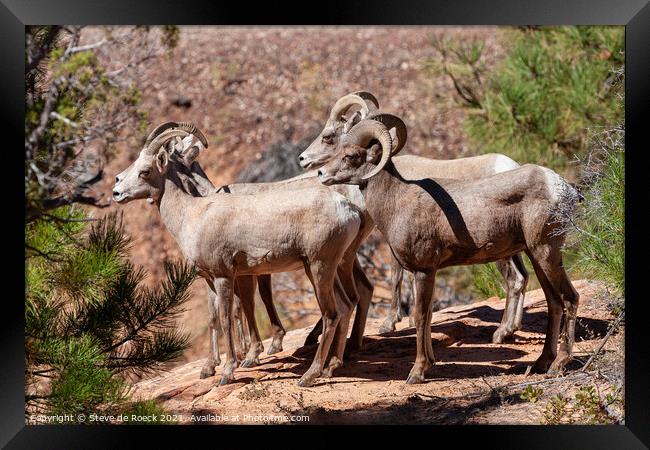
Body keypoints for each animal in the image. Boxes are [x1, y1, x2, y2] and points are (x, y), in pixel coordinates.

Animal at [113, 124, 362, 386]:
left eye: (145, 171)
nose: (116, 191)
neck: (191, 216)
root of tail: (350, 210)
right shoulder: (211, 280)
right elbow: (215, 319)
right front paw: (211, 369)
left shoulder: (224, 277)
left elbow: (226, 319)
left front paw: (227, 372)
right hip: (323, 268)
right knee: (345, 307)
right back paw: (330, 368)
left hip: (319, 267)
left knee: (331, 314)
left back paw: (309, 376)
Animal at [298, 93, 528, 342]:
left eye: (329, 137)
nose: (304, 160)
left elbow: (397, 276)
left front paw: (389, 324)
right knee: (524, 277)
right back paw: (514, 327)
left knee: (514, 280)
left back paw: (502, 333)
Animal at [318, 117, 576, 384]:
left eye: (350, 156)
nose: (321, 174)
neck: (397, 202)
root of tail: (562, 187)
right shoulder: (429, 272)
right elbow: (429, 316)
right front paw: (430, 363)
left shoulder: (423, 271)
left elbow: (421, 317)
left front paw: (417, 372)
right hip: (537, 255)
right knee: (553, 302)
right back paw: (541, 362)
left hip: (545, 252)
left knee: (569, 298)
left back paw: (558, 364)